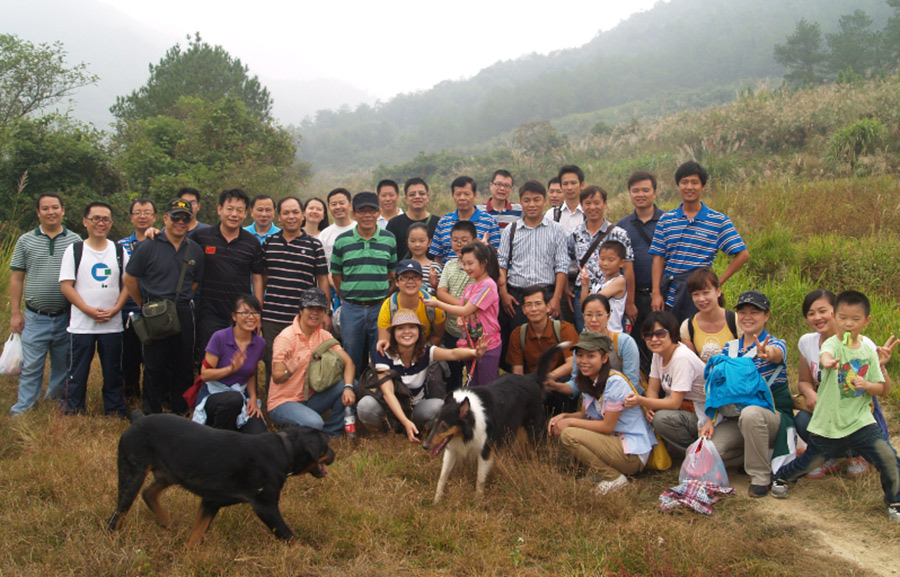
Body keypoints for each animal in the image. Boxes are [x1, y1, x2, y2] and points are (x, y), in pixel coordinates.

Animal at [107, 412, 334, 545]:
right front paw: (308, 553)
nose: (334, 455)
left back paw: (166, 522)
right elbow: (290, 537)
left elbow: (196, 535)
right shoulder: (266, 506)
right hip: (132, 472)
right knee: (117, 515)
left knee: (148, 494)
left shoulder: (211, 501)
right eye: (326, 446)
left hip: (168, 474)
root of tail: (137, 419)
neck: (285, 450)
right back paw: (114, 540)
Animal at [423, 343, 567, 503]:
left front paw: (478, 502)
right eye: (436, 423)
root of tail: (532, 377)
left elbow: (480, 480)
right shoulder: (452, 450)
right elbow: (442, 477)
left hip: (532, 430)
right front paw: (436, 500)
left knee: (535, 451)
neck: (471, 422)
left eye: (444, 426)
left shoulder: (485, 451)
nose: (425, 446)